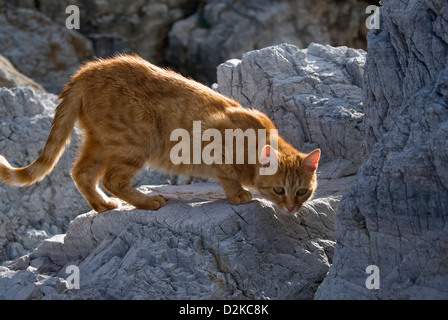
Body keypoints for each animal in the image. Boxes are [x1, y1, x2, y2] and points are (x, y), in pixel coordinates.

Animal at [0, 54, 322, 215]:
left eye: (302, 192)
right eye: (279, 190)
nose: (291, 208)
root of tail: (86, 71)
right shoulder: (211, 137)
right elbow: (228, 175)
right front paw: (238, 194)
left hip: (102, 142)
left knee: (81, 173)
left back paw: (102, 206)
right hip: (136, 139)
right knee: (112, 180)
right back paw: (146, 201)